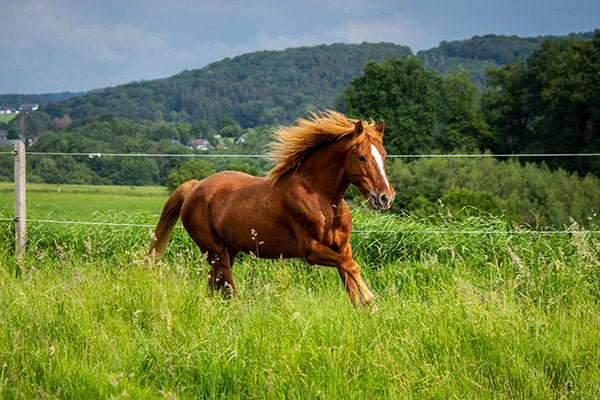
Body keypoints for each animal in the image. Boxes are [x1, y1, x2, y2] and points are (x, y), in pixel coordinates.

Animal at [149, 109, 394, 304]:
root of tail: (195, 186)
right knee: (228, 289)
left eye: (384, 155)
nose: (386, 197)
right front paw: (371, 297)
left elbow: (350, 282)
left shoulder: (342, 247)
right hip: (214, 251)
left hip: (228, 250)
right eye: (361, 157)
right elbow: (352, 266)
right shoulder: (312, 250)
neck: (321, 198)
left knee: (214, 285)